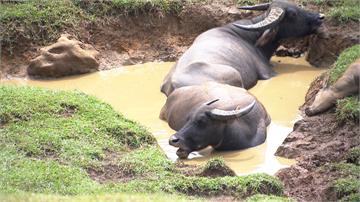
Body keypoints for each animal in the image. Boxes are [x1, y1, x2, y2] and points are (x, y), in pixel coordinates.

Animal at [160, 0, 324, 95]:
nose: (320, 17)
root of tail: (173, 84)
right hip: (235, 76)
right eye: (293, 14)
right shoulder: (268, 73)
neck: (253, 39)